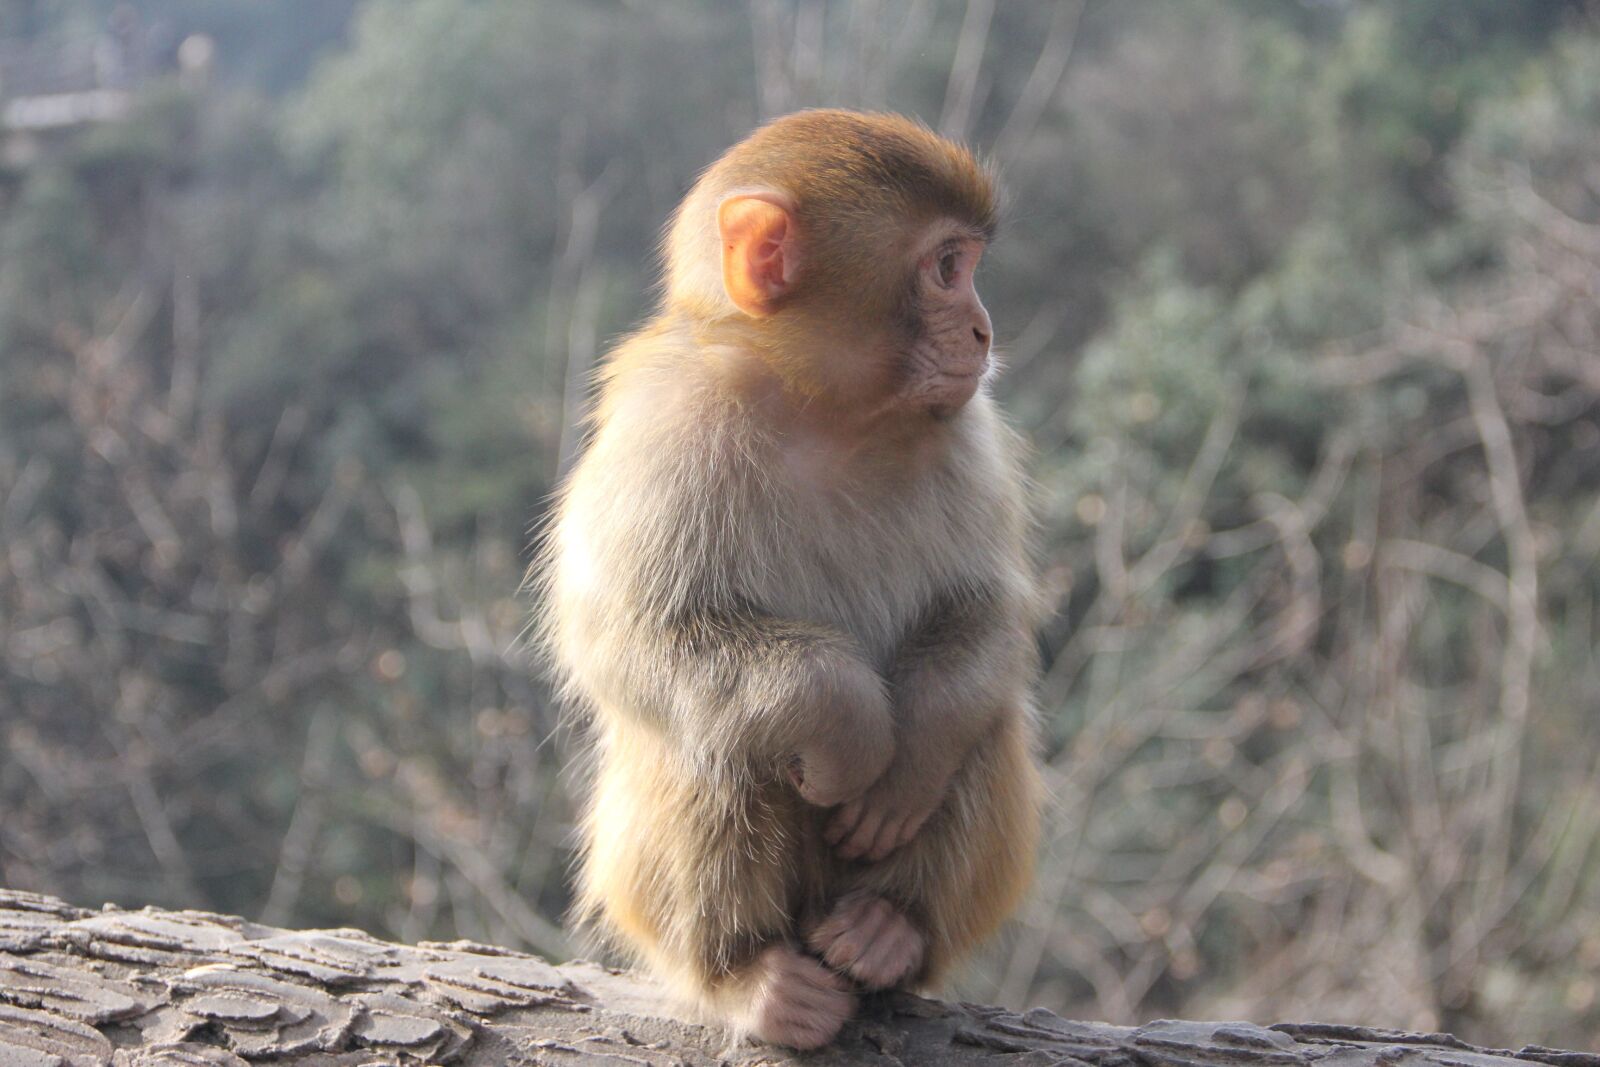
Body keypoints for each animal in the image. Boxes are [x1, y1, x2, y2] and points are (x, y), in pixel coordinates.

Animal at [535, 109, 1043, 1051]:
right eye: (947, 267)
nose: (986, 331)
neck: (826, 411)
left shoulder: (969, 432)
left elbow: (988, 607)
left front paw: (911, 756)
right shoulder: (667, 429)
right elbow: (629, 638)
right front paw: (850, 727)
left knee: (986, 717)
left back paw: (890, 928)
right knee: (716, 739)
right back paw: (747, 976)